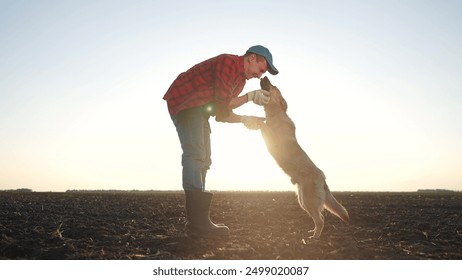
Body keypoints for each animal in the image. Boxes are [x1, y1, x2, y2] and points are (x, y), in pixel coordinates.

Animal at [258, 76, 348, 238]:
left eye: (274, 86)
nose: (265, 76)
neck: (276, 114)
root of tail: (322, 178)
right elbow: (262, 121)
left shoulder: (270, 133)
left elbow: (262, 123)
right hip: (302, 200)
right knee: (319, 218)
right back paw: (312, 233)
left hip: (307, 200)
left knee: (320, 220)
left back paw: (313, 238)